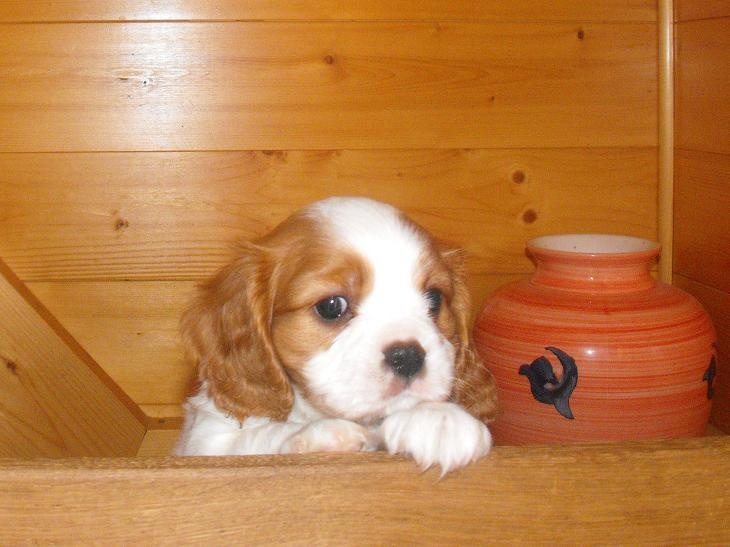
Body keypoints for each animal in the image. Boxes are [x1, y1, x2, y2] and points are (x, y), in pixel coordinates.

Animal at [174, 197, 498, 473]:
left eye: (434, 299)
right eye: (331, 306)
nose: (407, 357)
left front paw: (438, 418)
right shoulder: (208, 443)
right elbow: (258, 437)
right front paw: (320, 434)